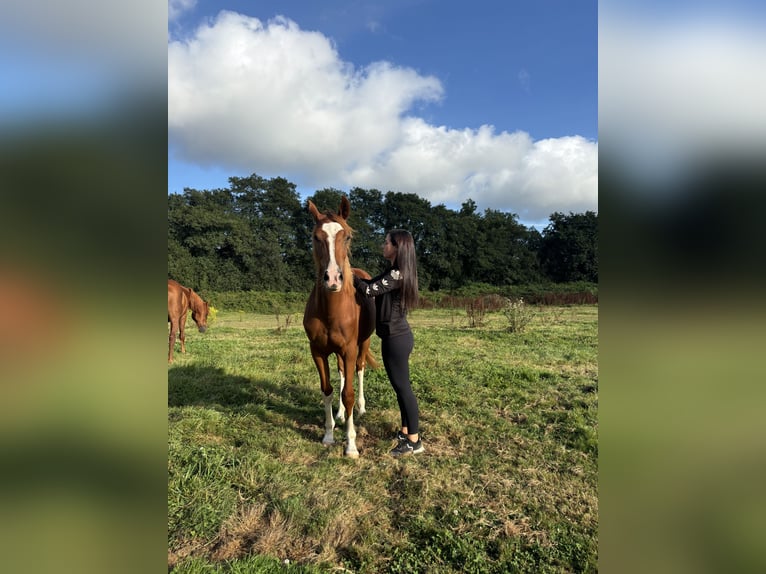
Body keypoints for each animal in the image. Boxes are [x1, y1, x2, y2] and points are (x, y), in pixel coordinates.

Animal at [303, 196, 377, 458]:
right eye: (316, 237)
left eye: (347, 237)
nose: (333, 279)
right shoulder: (318, 351)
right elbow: (327, 390)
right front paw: (328, 434)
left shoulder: (350, 349)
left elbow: (349, 394)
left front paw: (351, 445)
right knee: (343, 373)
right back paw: (341, 415)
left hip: (363, 344)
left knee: (360, 370)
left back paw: (361, 409)